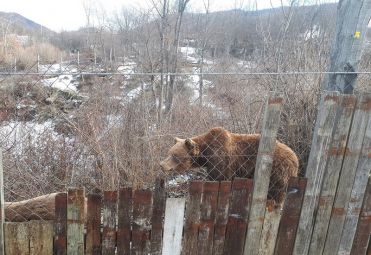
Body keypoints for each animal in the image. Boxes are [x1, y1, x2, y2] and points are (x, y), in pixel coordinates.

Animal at [160, 127, 300, 205]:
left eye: (175, 156)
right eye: (169, 153)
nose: (161, 165)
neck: (206, 153)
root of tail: (295, 158)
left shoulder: (221, 160)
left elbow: (218, 179)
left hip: (277, 172)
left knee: (275, 193)